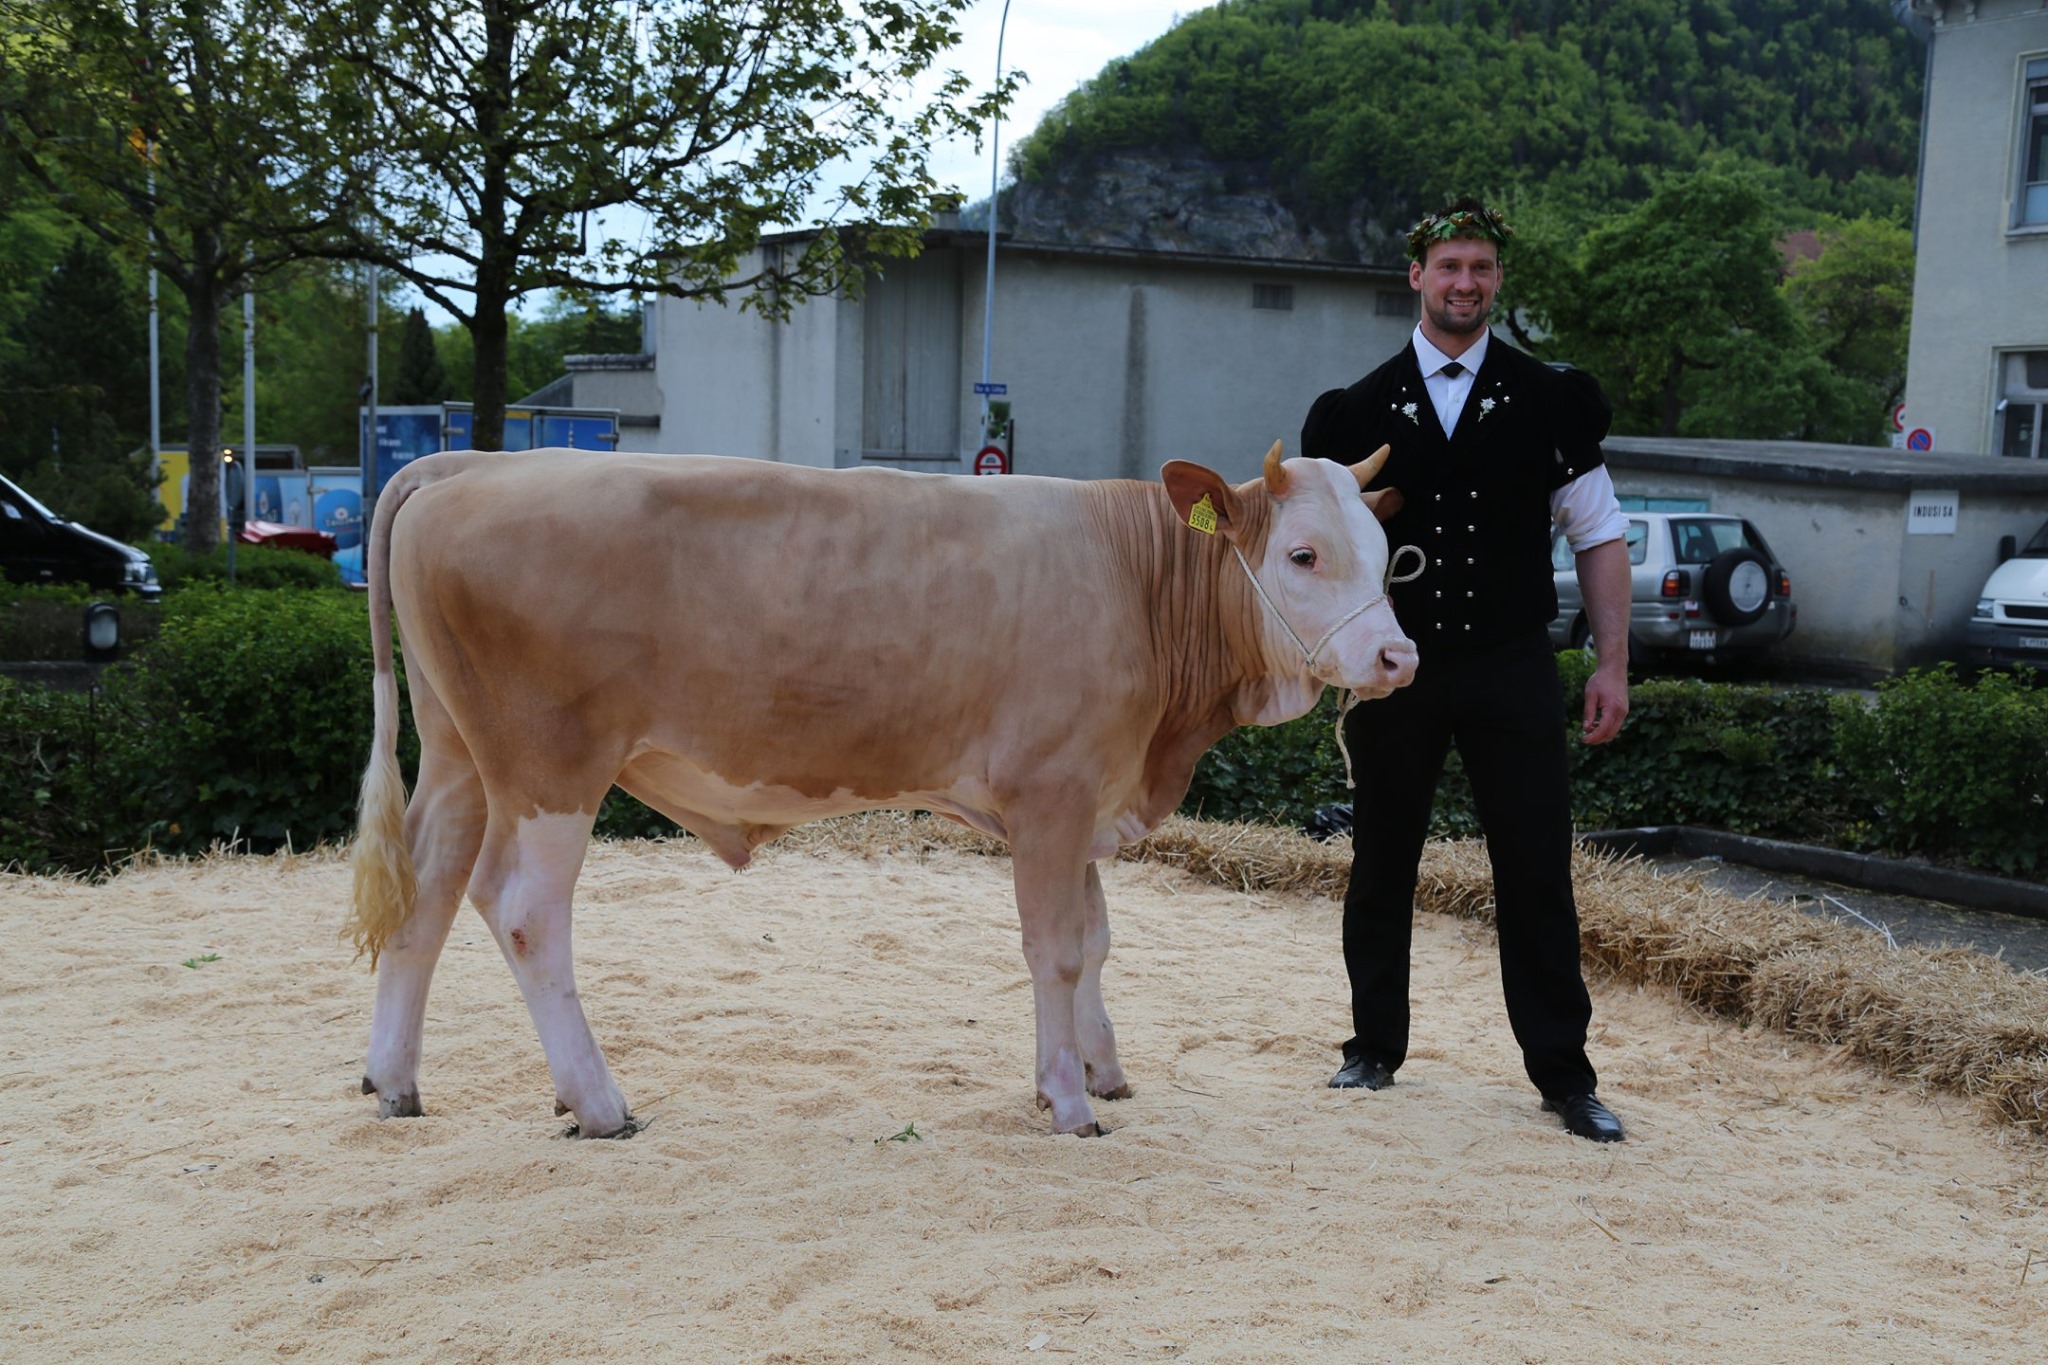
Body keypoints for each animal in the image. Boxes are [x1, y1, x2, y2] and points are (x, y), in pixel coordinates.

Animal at [352, 444, 1417, 1137]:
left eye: (1385, 554)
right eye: (1303, 553)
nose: (1397, 657)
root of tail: (467, 463)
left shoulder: (1086, 795)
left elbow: (1097, 937)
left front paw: (1101, 1067)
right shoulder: (1052, 790)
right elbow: (1059, 947)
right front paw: (1068, 1098)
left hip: (459, 756)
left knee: (426, 896)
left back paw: (394, 1082)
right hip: (551, 766)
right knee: (525, 911)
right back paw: (599, 1101)